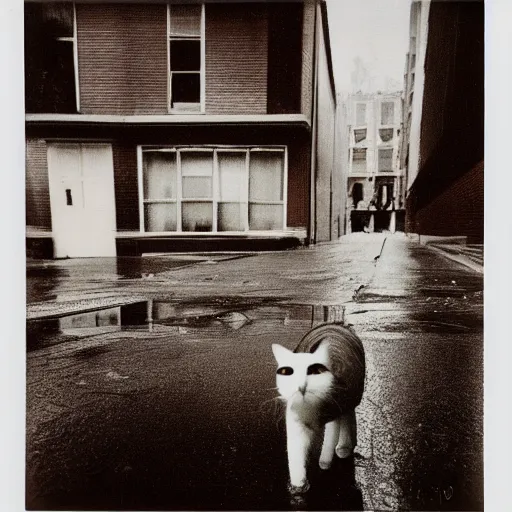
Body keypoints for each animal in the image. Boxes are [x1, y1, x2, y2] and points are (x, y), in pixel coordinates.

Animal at [272, 322, 364, 494]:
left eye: (314, 371)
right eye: (288, 372)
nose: (301, 387)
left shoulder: (336, 406)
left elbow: (330, 437)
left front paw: (325, 463)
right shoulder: (295, 420)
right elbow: (295, 456)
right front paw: (298, 487)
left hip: (350, 398)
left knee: (348, 417)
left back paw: (344, 448)